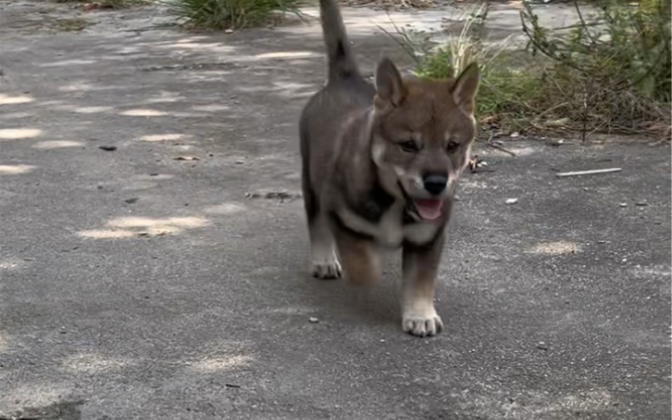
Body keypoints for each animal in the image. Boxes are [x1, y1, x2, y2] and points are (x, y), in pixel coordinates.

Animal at [298, 0, 478, 338]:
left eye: (453, 146)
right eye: (408, 145)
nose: (437, 182)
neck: (394, 202)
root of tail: (343, 78)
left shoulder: (427, 239)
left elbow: (421, 281)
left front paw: (420, 315)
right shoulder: (339, 214)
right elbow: (361, 262)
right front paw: (367, 266)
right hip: (310, 185)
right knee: (316, 226)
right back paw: (324, 260)